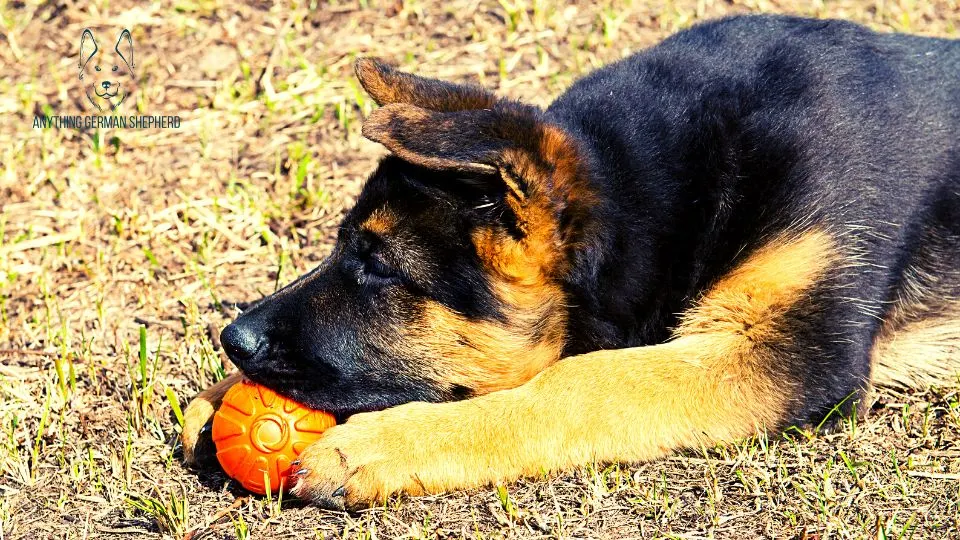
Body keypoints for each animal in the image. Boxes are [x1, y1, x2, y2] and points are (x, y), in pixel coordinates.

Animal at [182, 14, 960, 508]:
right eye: (344, 248)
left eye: (377, 266)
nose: (232, 339)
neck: (662, 188)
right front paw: (219, 397)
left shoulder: (789, 354)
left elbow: (587, 380)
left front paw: (384, 444)